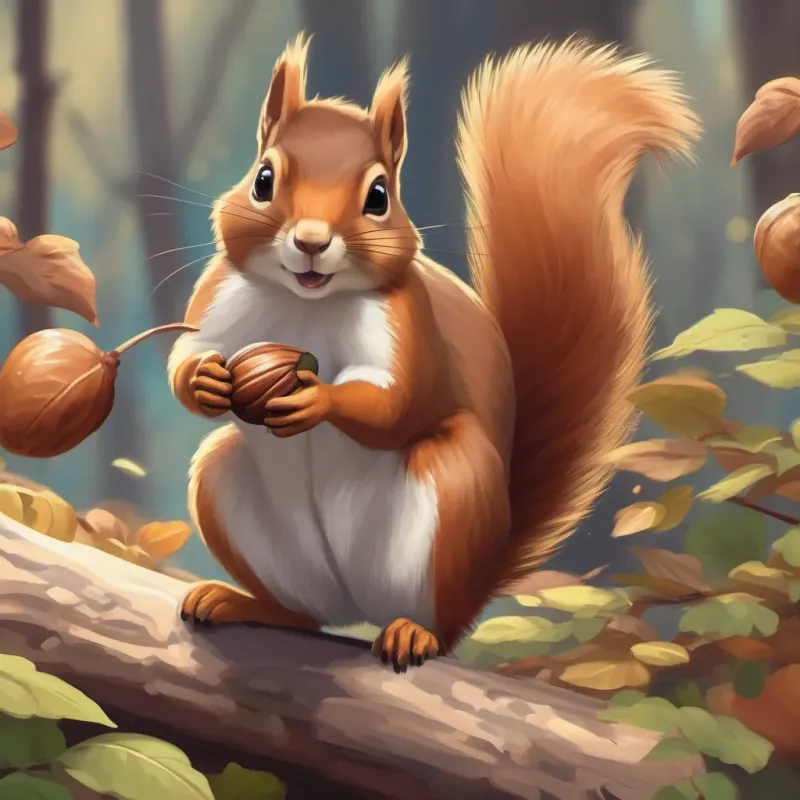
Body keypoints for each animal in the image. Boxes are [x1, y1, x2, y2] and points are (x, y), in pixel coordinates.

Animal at [167, 32, 700, 672]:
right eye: (263, 179)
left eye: (379, 196)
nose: (311, 242)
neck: (308, 302)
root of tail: (354, 603)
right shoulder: (220, 297)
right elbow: (186, 356)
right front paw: (204, 380)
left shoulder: (408, 328)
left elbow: (400, 403)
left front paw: (318, 399)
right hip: (231, 491)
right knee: (304, 614)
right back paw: (245, 603)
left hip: (452, 496)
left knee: (443, 626)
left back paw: (413, 633)